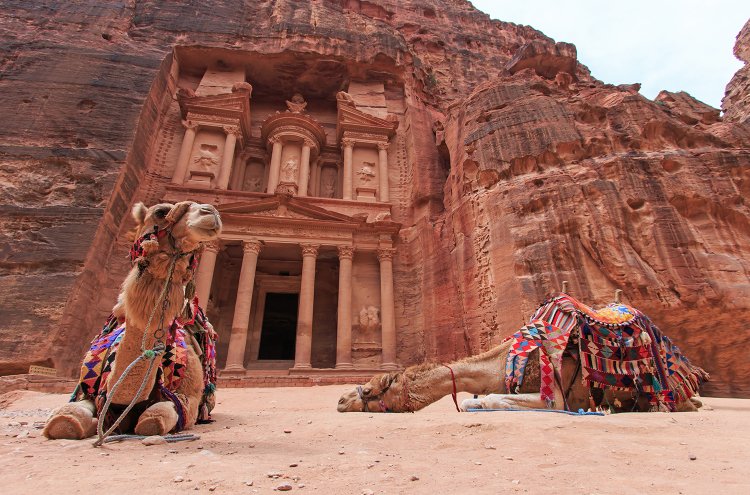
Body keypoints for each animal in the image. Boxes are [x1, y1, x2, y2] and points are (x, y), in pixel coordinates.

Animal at [44, 201, 222, 440]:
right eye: (160, 212)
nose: (211, 212)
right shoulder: (89, 394)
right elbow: (64, 419)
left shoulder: (187, 399)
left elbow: (154, 420)